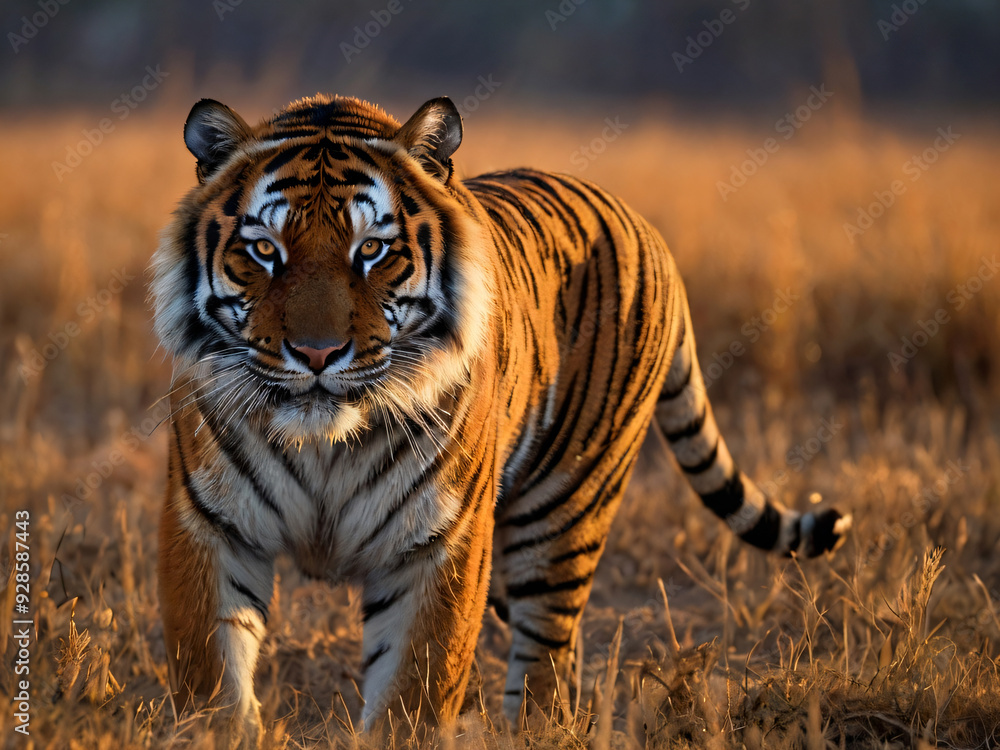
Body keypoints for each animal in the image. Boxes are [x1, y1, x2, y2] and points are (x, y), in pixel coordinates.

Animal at [150, 93, 850, 746]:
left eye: (372, 249)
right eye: (263, 250)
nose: (317, 354)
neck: (325, 442)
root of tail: (646, 229)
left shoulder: (441, 540)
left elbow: (414, 687)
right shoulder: (209, 524)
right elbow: (211, 673)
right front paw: (214, 731)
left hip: (562, 512)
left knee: (547, 657)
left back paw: (531, 730)